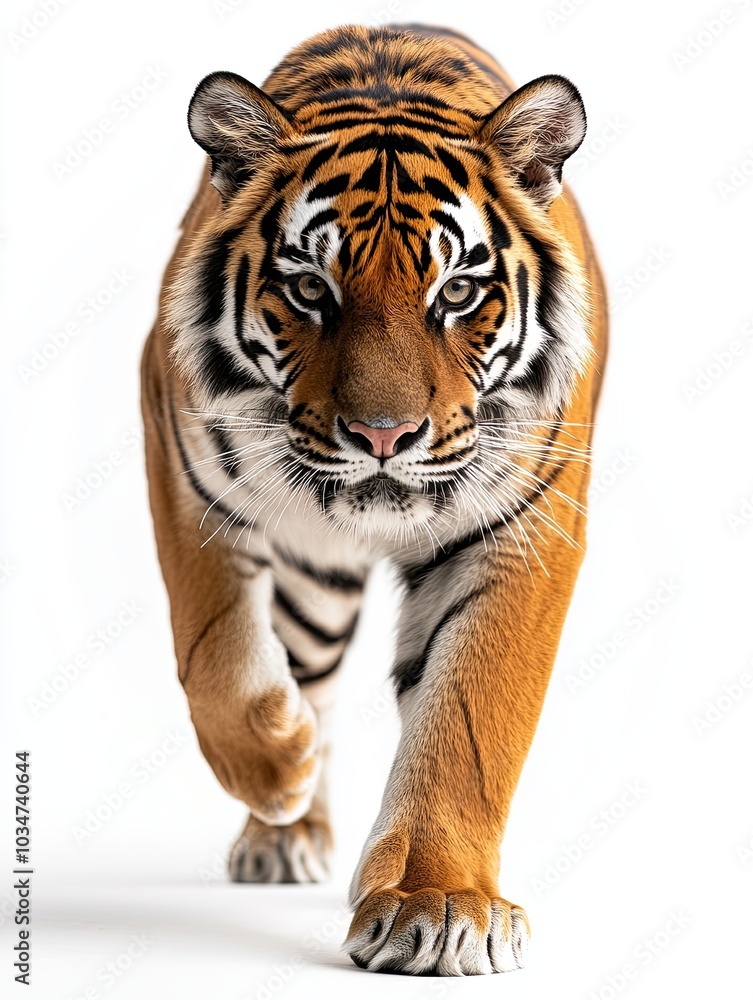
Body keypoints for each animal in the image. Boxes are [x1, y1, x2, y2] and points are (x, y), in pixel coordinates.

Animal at [141, 23, 607, 976]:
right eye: (309, 290)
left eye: (456, 292)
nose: (383, 436)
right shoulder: (179, 455)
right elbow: (216, 652)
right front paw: (278, 767)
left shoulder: (525, 528)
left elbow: (467, 722)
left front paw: (438, 902)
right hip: (313, 588)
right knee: (297, 669)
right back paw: (284, 822)